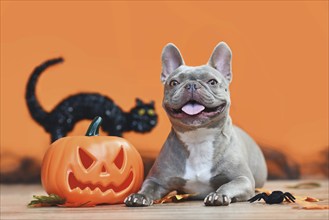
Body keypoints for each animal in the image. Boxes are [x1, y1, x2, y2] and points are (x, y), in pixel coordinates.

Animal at [124, 42, 266, 207]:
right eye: (173, 83)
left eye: (212, 82)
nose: (191, 84)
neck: (198, 138)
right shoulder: (157, 179)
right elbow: (148, 187)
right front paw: (138, 196)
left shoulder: (243, 179)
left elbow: (228, 185)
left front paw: (218, 195)